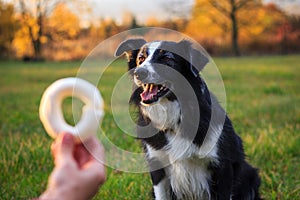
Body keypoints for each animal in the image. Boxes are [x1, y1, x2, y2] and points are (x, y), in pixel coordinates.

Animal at [115, 38, 260, 199]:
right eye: (141, 59)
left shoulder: (223, 168)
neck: (175, 120)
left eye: (167, 58)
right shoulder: (157, 167)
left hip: (250, 175)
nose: (139, 72)